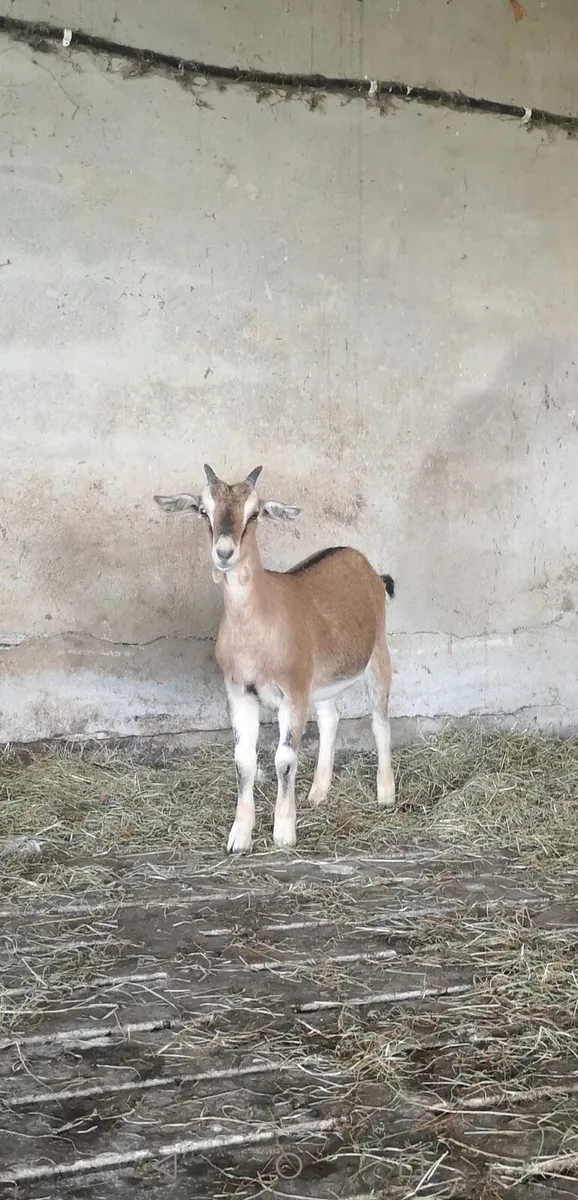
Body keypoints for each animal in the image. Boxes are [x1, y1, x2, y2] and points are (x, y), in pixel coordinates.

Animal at [154, 465, 395, 853]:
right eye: (204, 511)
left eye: (254, 514)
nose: (224, 553)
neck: (260, 629)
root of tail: (362, 562)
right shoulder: (239, 692)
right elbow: (243, 761)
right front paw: (239, 837)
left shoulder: (293, 692)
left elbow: (284, 759)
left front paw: (283, 833)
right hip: (322, 679)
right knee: (330, 717)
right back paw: (318, 792)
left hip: (377, 651)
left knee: (379, 718)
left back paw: (386, 793)